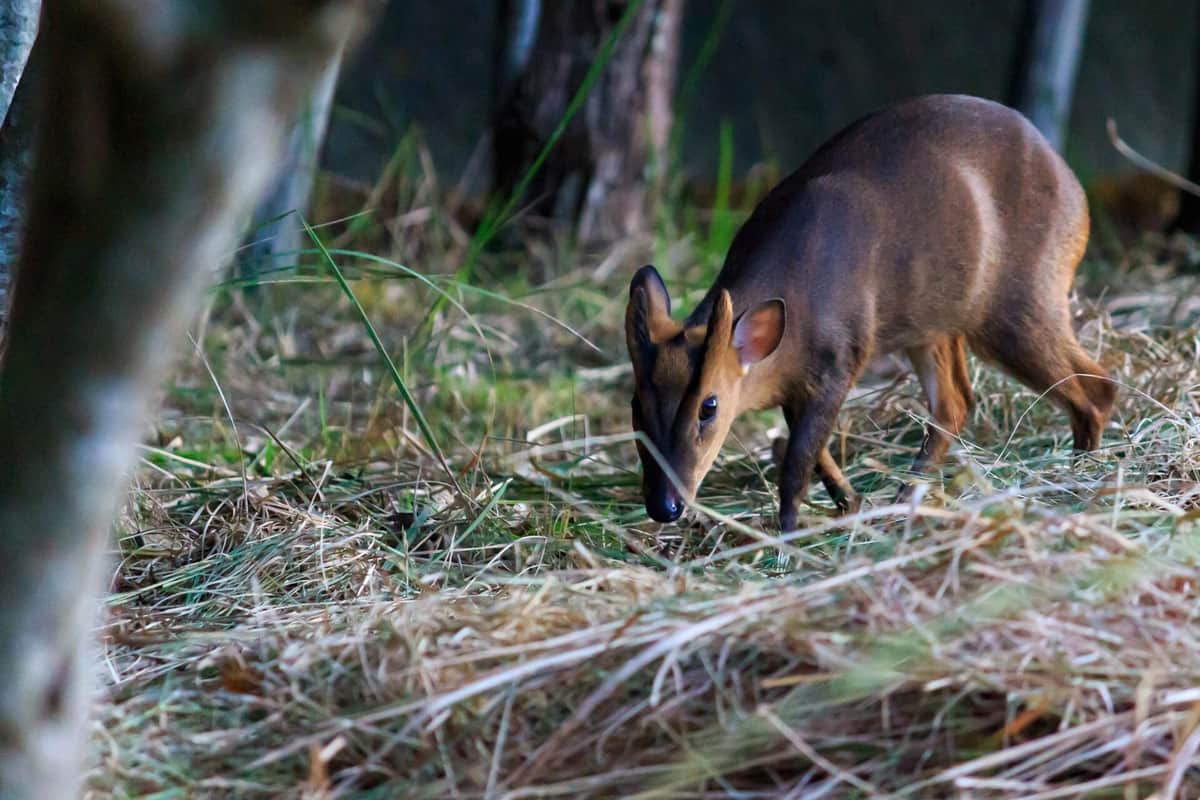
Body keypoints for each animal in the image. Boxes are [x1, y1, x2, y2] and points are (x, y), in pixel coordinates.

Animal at [628, 95, 1113, 532]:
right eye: (636, 403)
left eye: (708, 407)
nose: (664, 506)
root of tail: (1078, 195)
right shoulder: (801, 382)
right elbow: (814, 453)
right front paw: (851, 504)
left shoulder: (841, 357)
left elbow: (798, 461)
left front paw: (788, 535)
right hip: (936, 326)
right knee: (956, 403)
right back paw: (906, 498)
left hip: (1022, 301)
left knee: (1097, 388)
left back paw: (1081, 481)